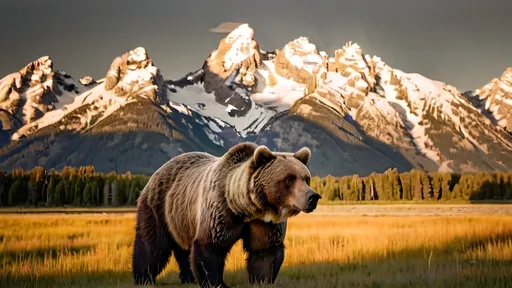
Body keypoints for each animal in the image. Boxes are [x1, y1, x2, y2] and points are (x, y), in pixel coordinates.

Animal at [134, 142, 322, 288]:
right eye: (289, 179)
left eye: (306, 178)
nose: (312, 197)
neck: (244, 209)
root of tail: (159, 170)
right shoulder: (219, 213)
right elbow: (209, 248)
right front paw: (217, 283)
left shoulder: (264, 223)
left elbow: (264, 252)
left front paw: (262, 280)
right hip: (159, 207)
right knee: (152, 245)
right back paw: (143, 278)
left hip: (181, 219)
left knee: (183, 250)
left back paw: (188, 278)